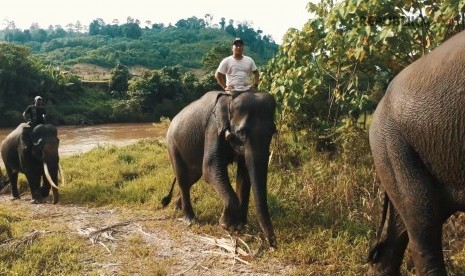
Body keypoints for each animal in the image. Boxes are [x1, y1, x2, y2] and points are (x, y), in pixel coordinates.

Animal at [162, 90, 276, 248]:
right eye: (241, 132)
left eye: (273, 131)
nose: (273, 245)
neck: (229, 99)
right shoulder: (212, 128)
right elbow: (210, 169)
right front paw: (226, 225)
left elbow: (244, 174)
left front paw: (240, 226)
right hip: (172, 145)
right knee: (183, 179)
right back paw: (190, 220)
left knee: (191, 178)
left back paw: (177, 207)